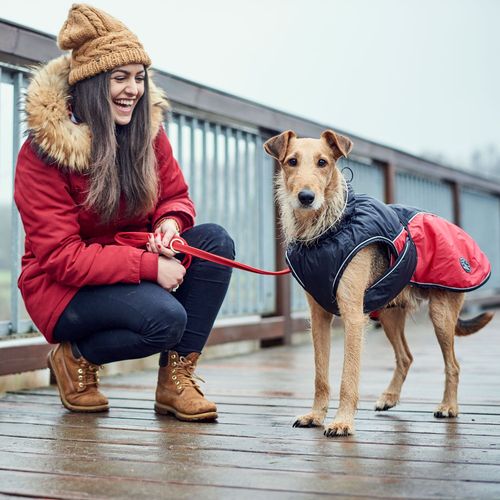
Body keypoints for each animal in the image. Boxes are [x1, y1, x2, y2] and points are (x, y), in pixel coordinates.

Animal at [264, 130, 494, 438]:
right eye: (291, 161)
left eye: (323, 162)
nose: (306, 197)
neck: (326, 231)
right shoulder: (319, 317)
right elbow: (320, 375)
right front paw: (316, 416)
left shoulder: (352, 315)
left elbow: (348, 377)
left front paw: (342, 422)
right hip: (388, 313)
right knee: (406, 357)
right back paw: (389, 398)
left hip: (440, 314)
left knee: (453, 364)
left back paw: (448, 406)